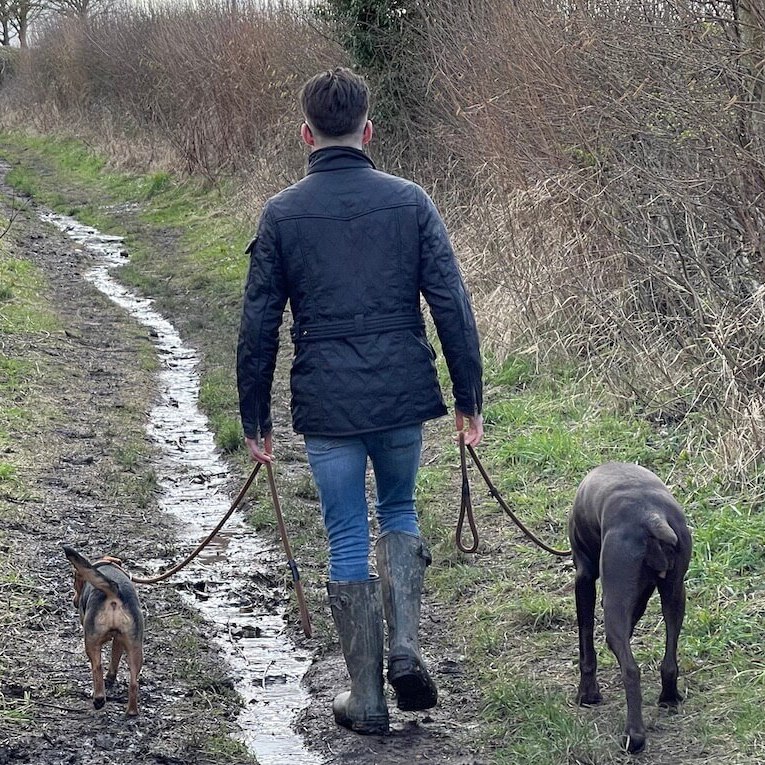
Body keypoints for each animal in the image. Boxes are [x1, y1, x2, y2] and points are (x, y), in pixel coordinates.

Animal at [62, 544, 145, 716]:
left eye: (75, 579)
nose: (74, 601)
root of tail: (114, 590)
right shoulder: (119, 640)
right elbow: (115, 658)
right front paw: (111, 677)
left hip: (91, 641)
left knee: (97, 667)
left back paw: (99, 699)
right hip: (135, 646)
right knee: (134, 682)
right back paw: (132, 711)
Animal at [568, 460, 692, 752]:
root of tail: (652, 517)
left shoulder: (584, 578)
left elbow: (586, 645)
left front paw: (587, 693)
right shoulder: (644, 590)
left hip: (614, 603)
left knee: (631, 670)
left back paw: (634, 736)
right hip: (674, 593)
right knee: (669, 661)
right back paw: (669, 697)